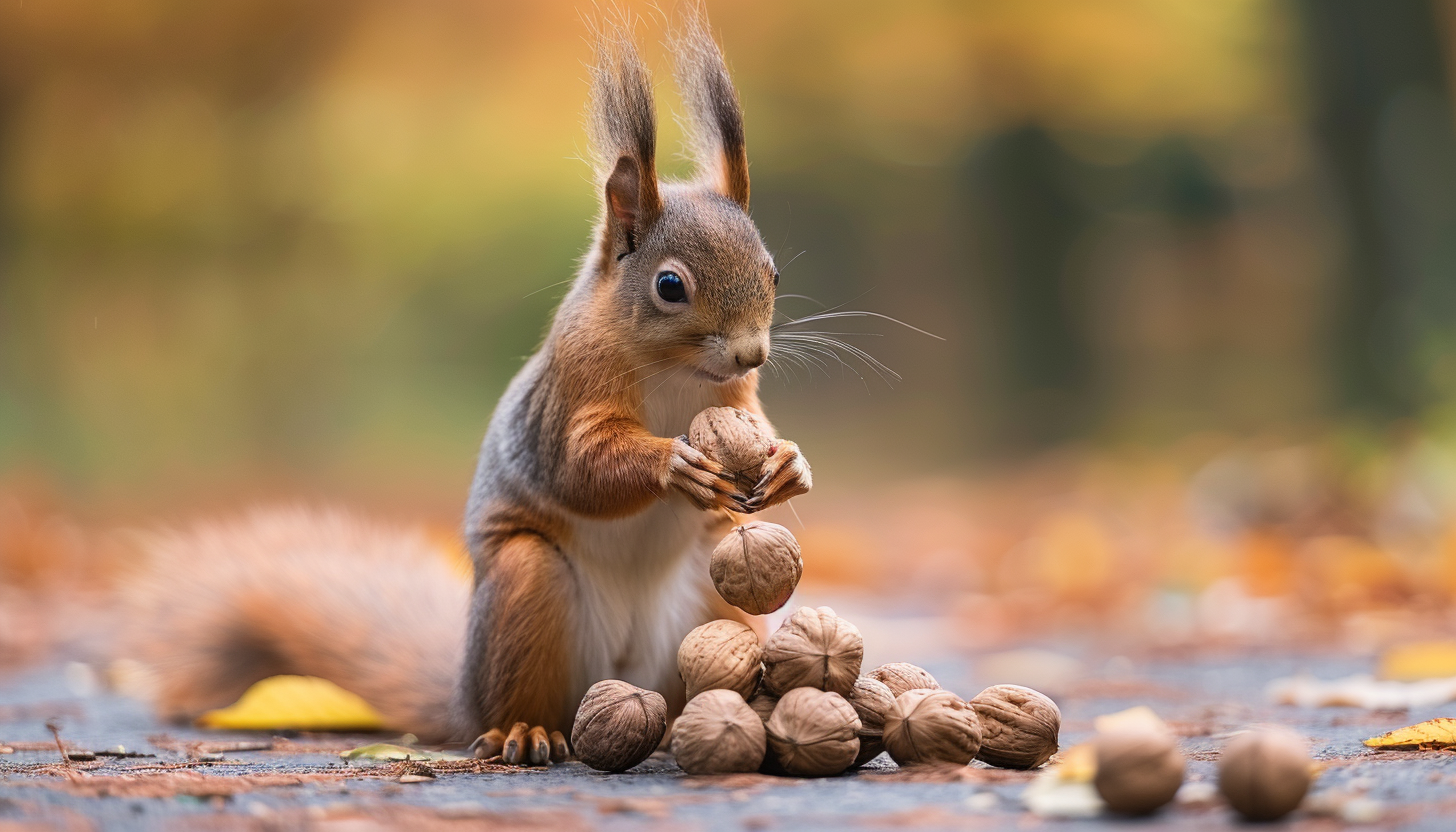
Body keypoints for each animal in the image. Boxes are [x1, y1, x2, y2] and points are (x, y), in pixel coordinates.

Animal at [119, 8, 815, 769]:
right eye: (669, 286)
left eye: (774, 272)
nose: (752, 351)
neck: (677, 375)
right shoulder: (567, 396)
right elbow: (580, 467)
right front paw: (673, 463)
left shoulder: (736, 402)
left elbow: (757, 434)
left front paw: (788, 463)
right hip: (525, 590)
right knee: (520, 697)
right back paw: (526, 731)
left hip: (711, 600)